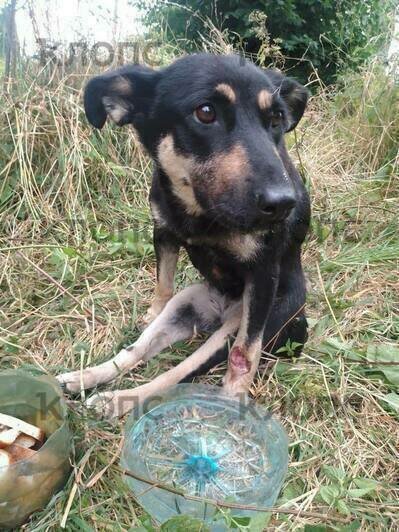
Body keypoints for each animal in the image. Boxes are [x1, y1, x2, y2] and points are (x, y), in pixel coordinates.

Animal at [57, 54, 310, 420]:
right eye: (205, 112)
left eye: (276, 118)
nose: (283, 204)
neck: (199, 212)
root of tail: (220, 313)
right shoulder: (163, 232)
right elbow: (163, 284)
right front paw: (150, 311)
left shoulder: (264, 274)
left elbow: (246, 353)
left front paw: (235, 397)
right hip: (185, 304)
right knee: (136, 352)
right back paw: (86, 378)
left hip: (237, 328)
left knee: (176, 374)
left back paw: (117, 399)